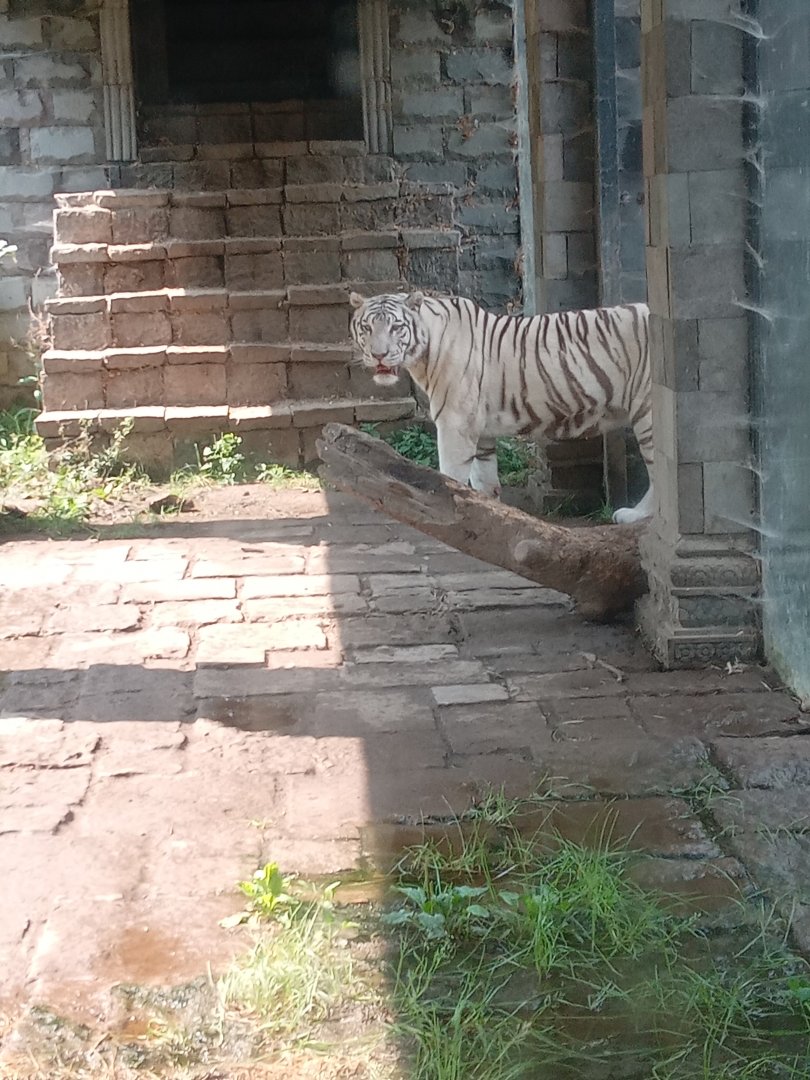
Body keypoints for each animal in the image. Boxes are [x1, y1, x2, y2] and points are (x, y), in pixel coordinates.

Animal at [349, 291, 654, 524]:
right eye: (367, 328)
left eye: (396, 328)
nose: (378, 355)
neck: (424, 354)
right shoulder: (480, 431)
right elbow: (483, 482)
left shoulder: (455, 425)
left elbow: (449, 476)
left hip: (648, 414)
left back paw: (633, 515)